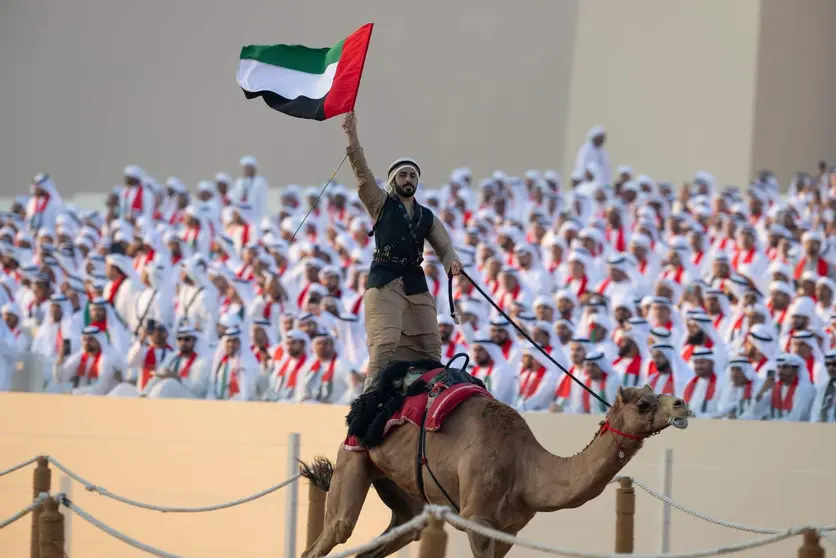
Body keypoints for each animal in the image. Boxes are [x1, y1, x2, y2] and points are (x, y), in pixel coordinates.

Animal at [298, 368, 692, 558]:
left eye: (658, 393)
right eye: (643, 403)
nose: (682, 404)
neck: (526, 467)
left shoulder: (508, 531)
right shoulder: (477, 520)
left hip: (400, 488)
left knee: (398, 533)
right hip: (353, 458)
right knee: (333, 532)